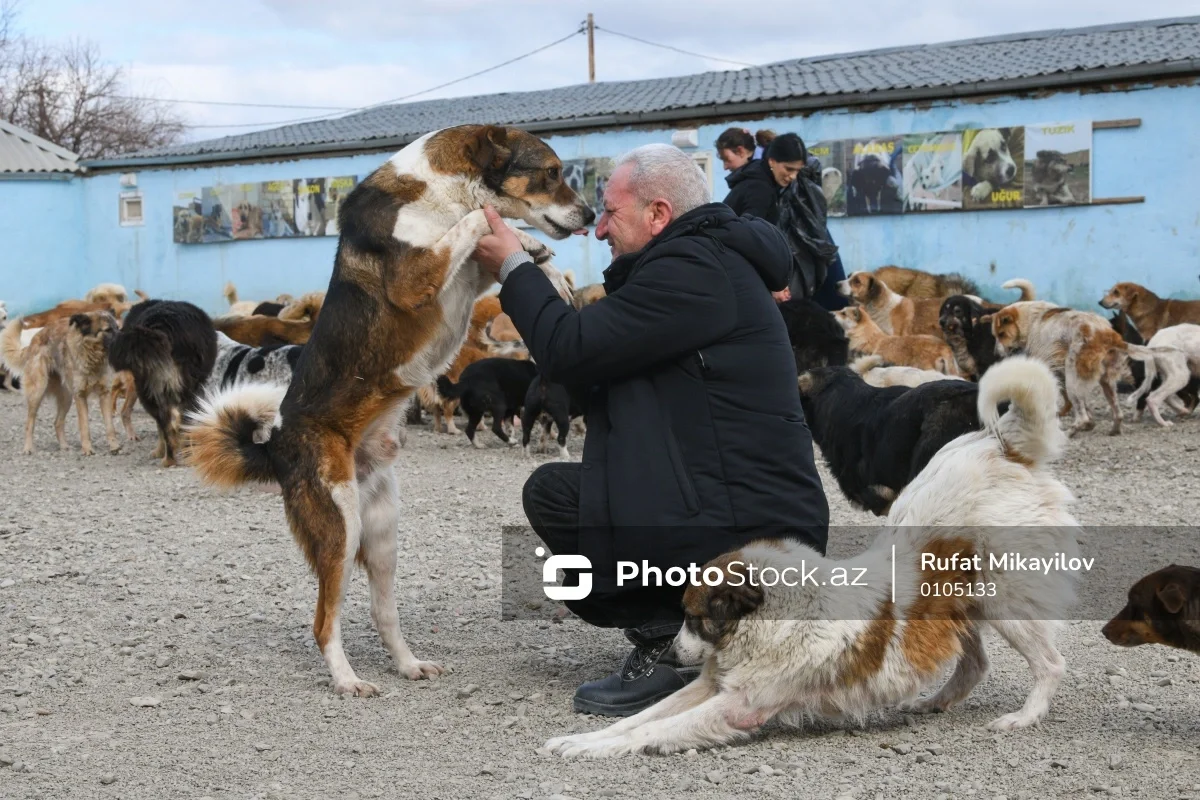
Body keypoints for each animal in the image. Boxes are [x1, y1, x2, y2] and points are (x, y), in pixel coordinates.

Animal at [1, 311, 123, 455]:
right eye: (108, 330)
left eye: (117, 327)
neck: (92, 355)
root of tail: (34, 340)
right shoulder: (80, 396)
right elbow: (84, 426)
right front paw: (87, 449)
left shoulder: (104, 394)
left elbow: (110, 425)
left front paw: (114, 446)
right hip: (37, 393)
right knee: (29, 422)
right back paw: (28, 447)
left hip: (67, 398)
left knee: (57, 422)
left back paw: (64, 446)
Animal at [108, 297, 218, 465]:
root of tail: (161, 326)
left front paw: (159, 451)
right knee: (176, 420)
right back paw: (176, 456)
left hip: (149, 389)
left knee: (168, 423)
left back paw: (170, 458)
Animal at [184, 123, 592, 695]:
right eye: (551, 172)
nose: (592, 215)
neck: (440, 190)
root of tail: (276, 446)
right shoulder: (417, 278)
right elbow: (478, 222)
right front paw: (527, 245)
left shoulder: (469, 276)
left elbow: (508, 247)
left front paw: (546, 263)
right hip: (340, 531)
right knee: (324, 621)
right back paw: (347, 680)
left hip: (381, 536)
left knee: (382, 614)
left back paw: (407, 664)